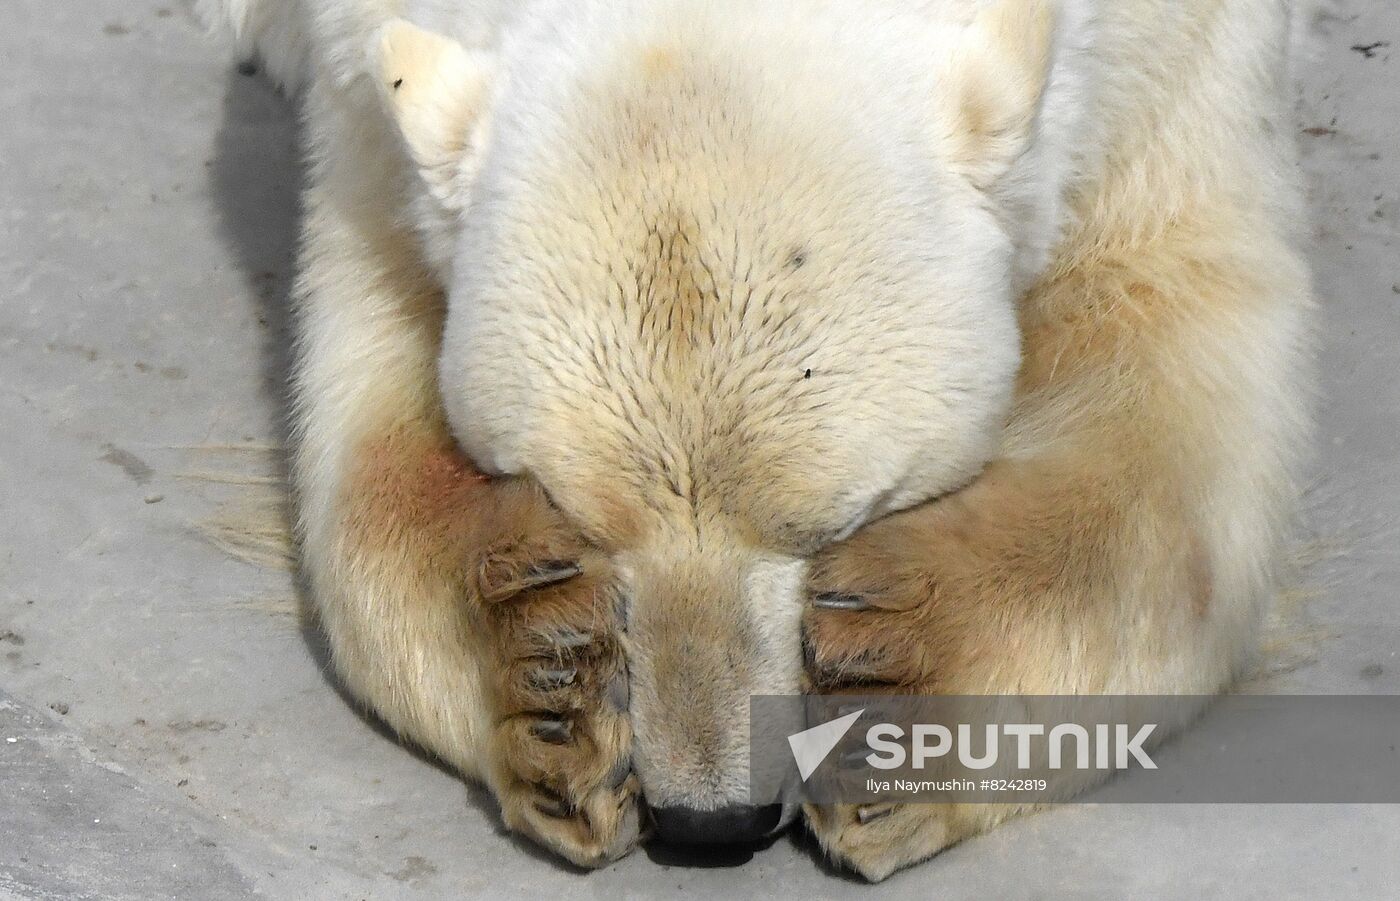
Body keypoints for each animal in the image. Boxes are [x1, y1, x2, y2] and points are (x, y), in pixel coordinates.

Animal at [204, 0, 1310, 878]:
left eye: (831, 522)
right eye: (586, 519)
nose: (711, 818)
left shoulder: (1167, 76)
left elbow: (1165, 436)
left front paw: (893, 705)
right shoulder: (364, 118)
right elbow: (368, 470)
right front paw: (548, 686)